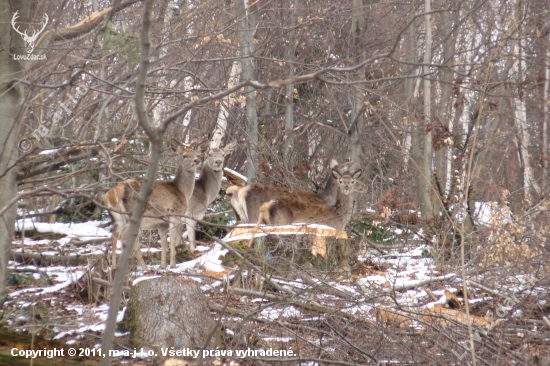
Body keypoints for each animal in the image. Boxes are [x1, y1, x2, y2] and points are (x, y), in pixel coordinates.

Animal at [104, 139, 203, 270]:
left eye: (197, 154)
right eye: (184, 155)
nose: (197, 160)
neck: (182, 192)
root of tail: (112, 193)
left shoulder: (162, 224)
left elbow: (164, 243)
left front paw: (163, 265)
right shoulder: (175, 214)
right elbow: (173, 240)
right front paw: (173, 264)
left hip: (117, 217)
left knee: (115, 235)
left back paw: (115, 267)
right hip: (134, 216)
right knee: (127, 237)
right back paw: (144, 268)